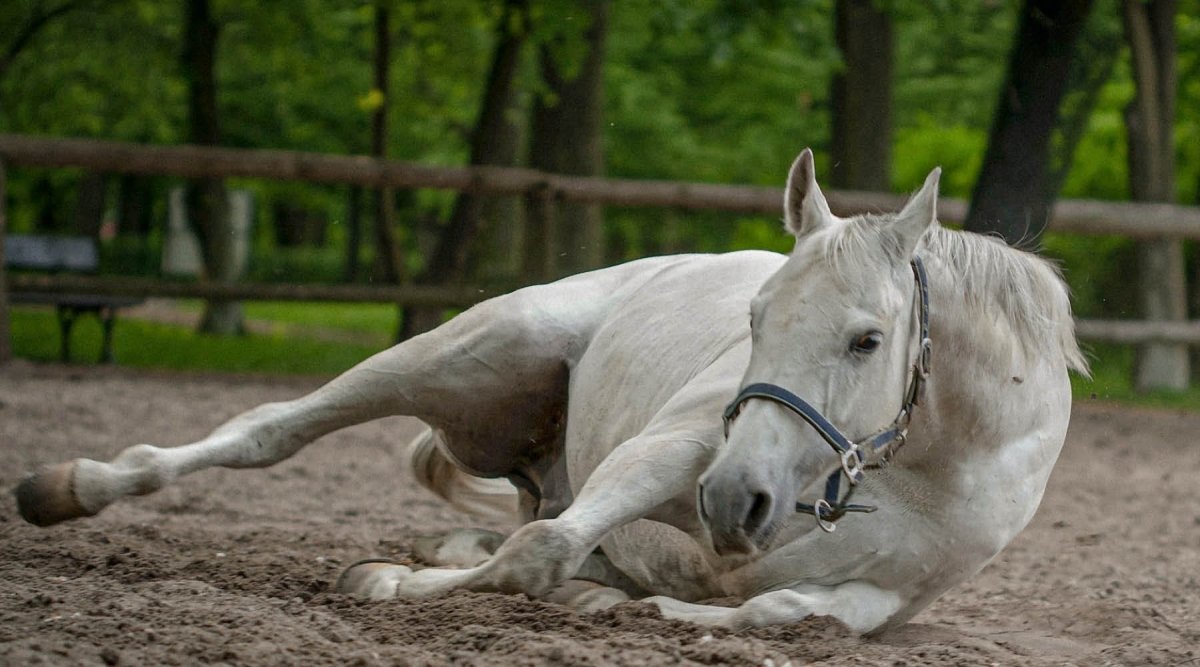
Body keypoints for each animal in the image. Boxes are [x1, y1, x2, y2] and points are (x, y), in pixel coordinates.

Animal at [16, 148, 1089, 633]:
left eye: (867, 339)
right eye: (754, 318)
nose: (735, 500)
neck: (928, 464)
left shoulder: (887, 593)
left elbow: (788, 612)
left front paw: (636, 608)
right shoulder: (675, 451)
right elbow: (537, 554)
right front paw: (389, 583)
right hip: (464, 353)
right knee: (270, 430)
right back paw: (67, 486)